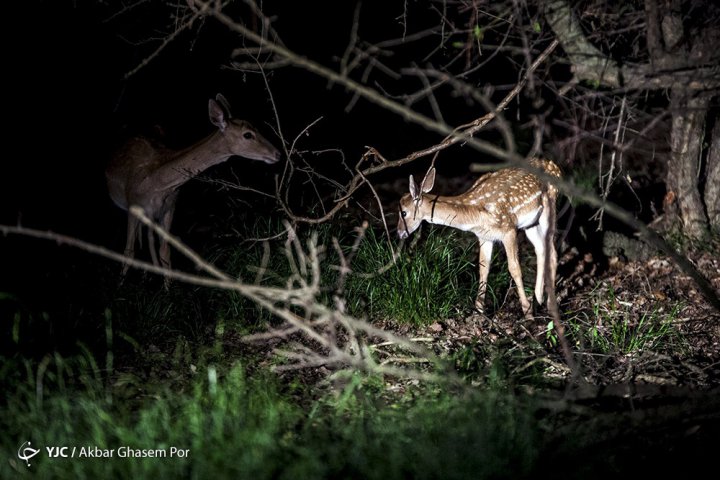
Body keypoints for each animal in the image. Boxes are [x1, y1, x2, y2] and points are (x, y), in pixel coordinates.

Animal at [107, 93, 282, 274]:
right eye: (248, 134)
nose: (277, 153)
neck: (156, 183)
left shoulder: (169, 207)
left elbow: (165, 252)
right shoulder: (133, 206)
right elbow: (128, 252)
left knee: (149, 239)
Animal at [400, 159, 564, 320]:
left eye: (403, 213)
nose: (400, 233)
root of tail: (555, 166)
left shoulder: (508, 229)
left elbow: (514, 268)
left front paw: (527, 313)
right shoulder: (484, 236)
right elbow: (483, 269)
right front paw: (478, 311)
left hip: (550, 205)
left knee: (553, 253)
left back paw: (550, 306)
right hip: (530, 223)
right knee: (541, 249)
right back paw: (539, 299)